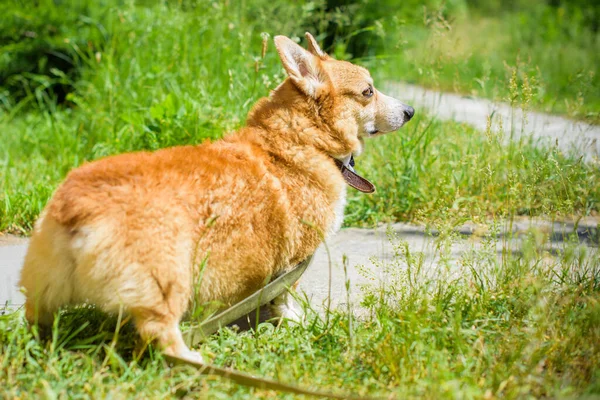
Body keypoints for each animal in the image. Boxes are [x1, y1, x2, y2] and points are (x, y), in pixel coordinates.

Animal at [18, 32, 412, 362]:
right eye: (368, 91)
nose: (410, 111)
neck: (302, 138)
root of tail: (76, 206)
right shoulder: (294, 259)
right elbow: (285, 297)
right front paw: (295, 321)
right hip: (167, 280)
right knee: (160, 331)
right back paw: (190, 360)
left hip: (44, 283)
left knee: (37, 318)